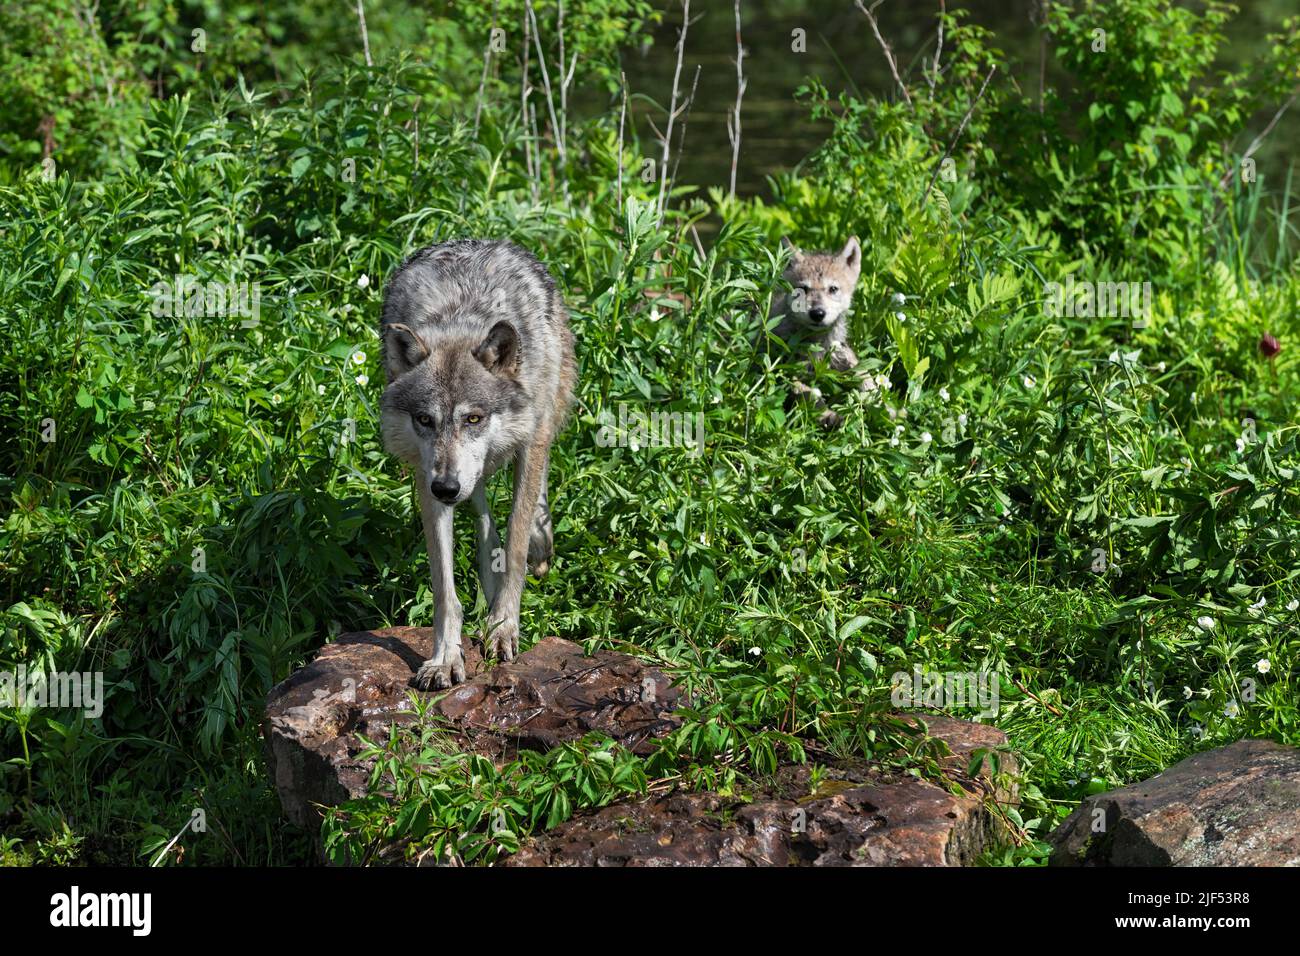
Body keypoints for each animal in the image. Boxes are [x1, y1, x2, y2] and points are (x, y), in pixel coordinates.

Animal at [379, 239, 577, 686]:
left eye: (473, 418)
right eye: (424, 420)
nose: (446, 488)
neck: (458, 322)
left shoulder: (529, 443)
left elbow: (516, 543)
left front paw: (504, 627)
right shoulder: (427, 476)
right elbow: (443, 585)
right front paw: (445, 657)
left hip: (545, 415)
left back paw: (538, 542)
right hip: (466, 474)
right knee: (484, 519)